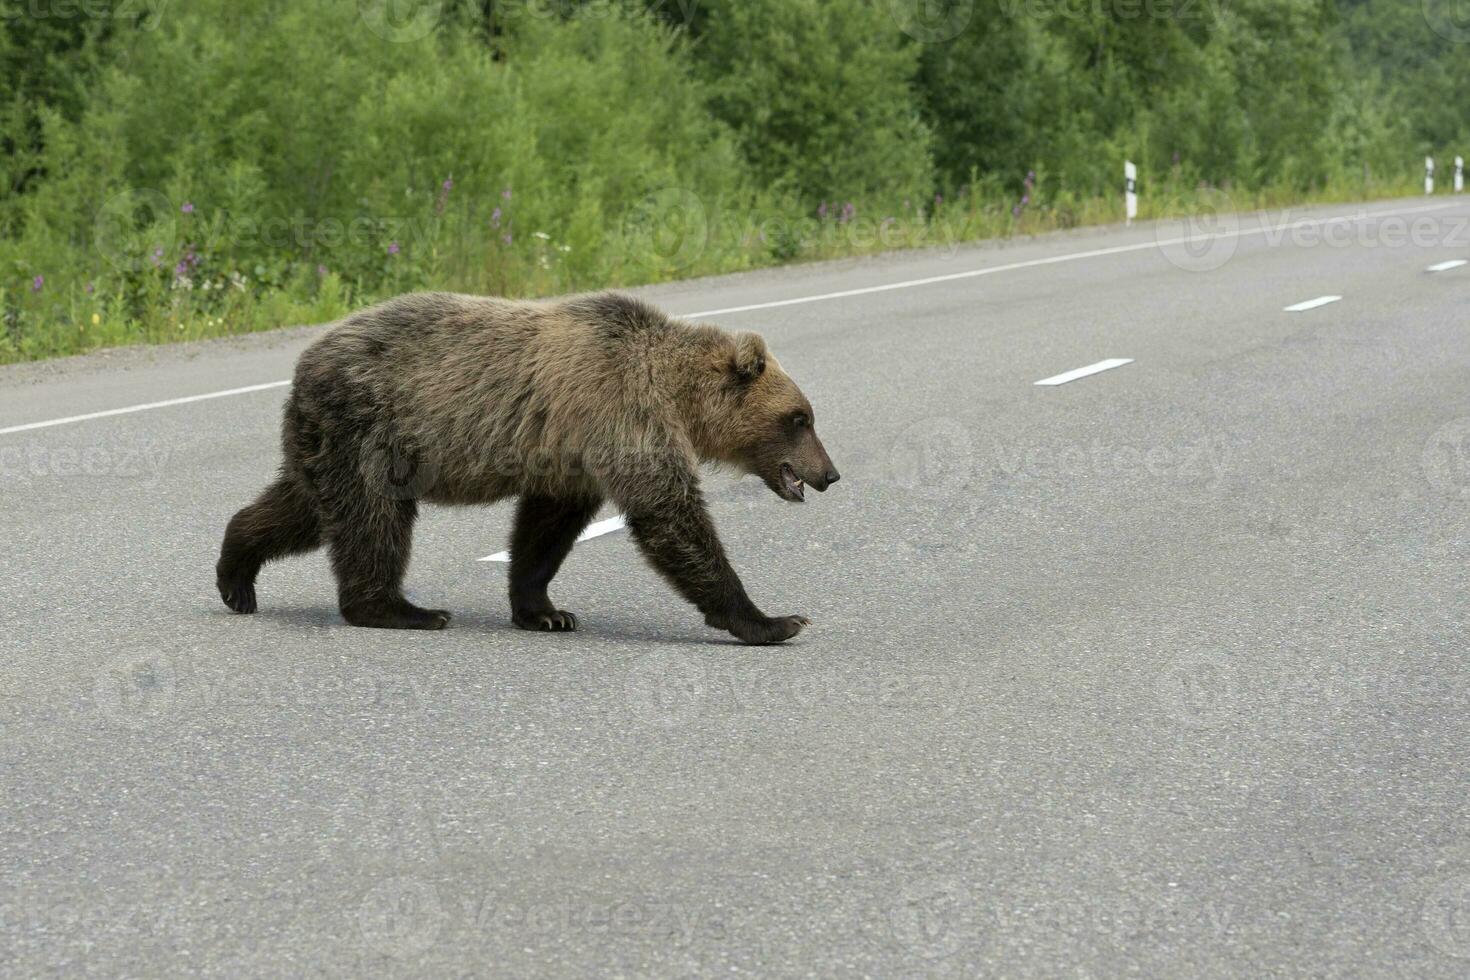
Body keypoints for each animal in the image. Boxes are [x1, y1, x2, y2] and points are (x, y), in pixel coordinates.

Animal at [216, 289, 840, 643]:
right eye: (800, 418)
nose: (829, 474)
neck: (674, 391)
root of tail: (303, 365)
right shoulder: (618, 412)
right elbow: (668, 514)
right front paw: (774, 620)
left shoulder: (571, 451)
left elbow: (546, 530)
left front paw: (545, 611)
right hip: (371, 430)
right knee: (372, 519)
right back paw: (404, 610)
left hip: (328, 441)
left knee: (305, 508)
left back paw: (236, 574)